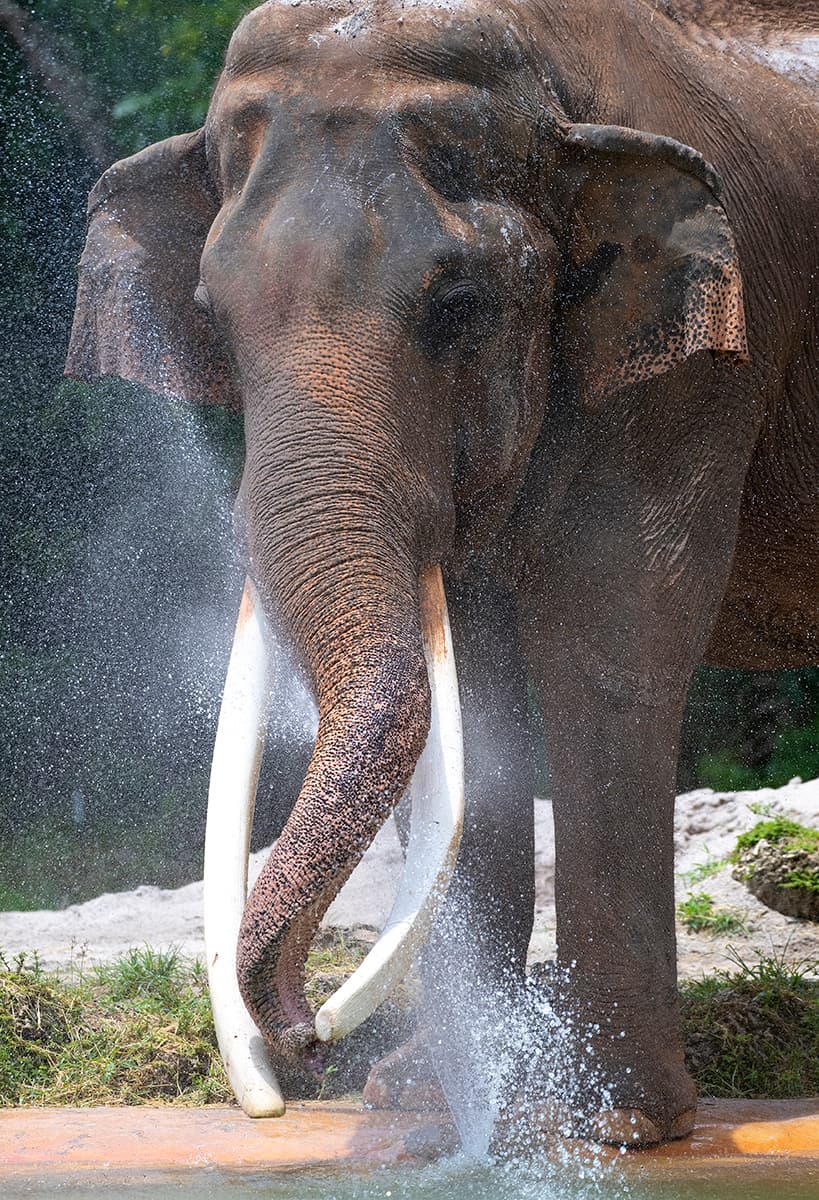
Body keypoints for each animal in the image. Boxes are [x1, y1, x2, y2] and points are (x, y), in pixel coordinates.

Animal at [66, 0, 818, 1147]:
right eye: (212, 313)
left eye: (458, 302)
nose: (306, 1036)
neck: (554, 77)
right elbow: (474, 675)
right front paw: (428, 1101)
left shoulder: (696, 361)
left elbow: (612, 638)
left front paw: (610, 1126)